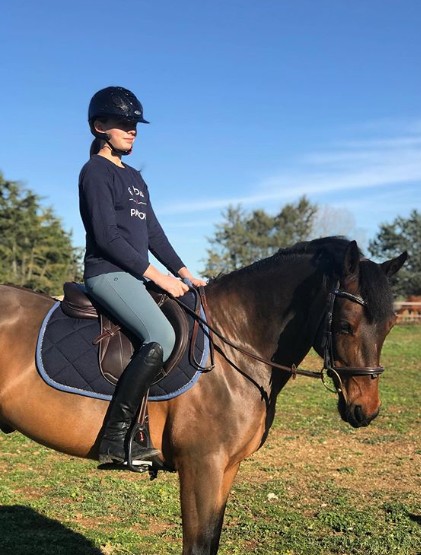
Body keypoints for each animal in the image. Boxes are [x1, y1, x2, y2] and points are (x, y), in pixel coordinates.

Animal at [0, 237, 406, 552]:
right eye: (345, 325)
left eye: (390, 324)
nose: (366, 410)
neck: (235, 344)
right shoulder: (202, 465)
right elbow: (198, 544)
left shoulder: (226, 467)